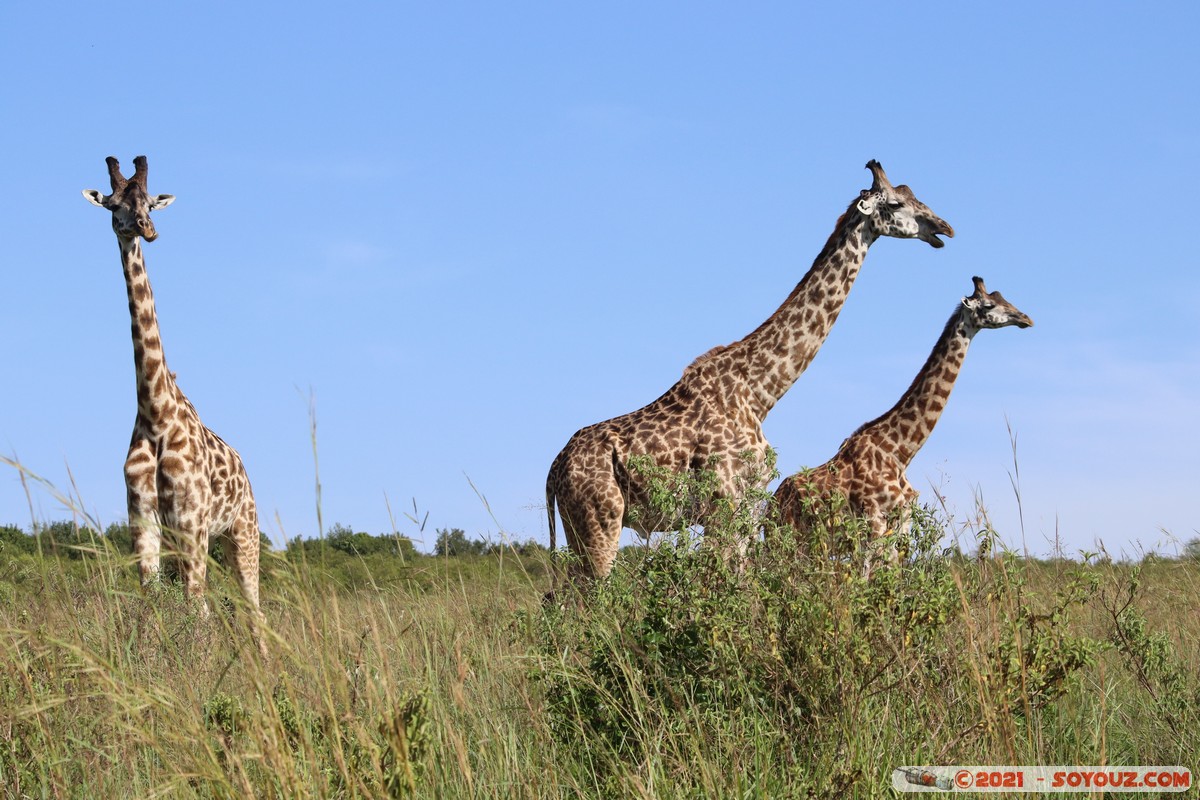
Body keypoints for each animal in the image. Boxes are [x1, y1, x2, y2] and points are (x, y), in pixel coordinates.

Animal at [85, 155, 268, 657]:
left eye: (149, 203)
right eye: (114, 204)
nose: (146, 229)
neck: (155, 413)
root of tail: (246, 472)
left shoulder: (191, 523)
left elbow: (196, 610)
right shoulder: (144, 521)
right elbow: (150, 608)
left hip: (243, 533)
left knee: (255, 612)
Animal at [547, 159, 955, 585]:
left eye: (913, 194)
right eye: (895, 203)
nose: (943, 228)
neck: (760, 392)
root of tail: (554, 471)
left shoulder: (747, 506)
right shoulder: (724, 503)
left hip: (579, 527)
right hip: (600, 522)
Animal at [772, 278, 1036, 573]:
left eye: (1005, 298)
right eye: (989, 305)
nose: (1026, 318)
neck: (901, 452)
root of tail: (773, 502)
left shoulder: (904, 521)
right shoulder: (874, 519)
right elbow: (867, 576)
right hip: (788, 536)